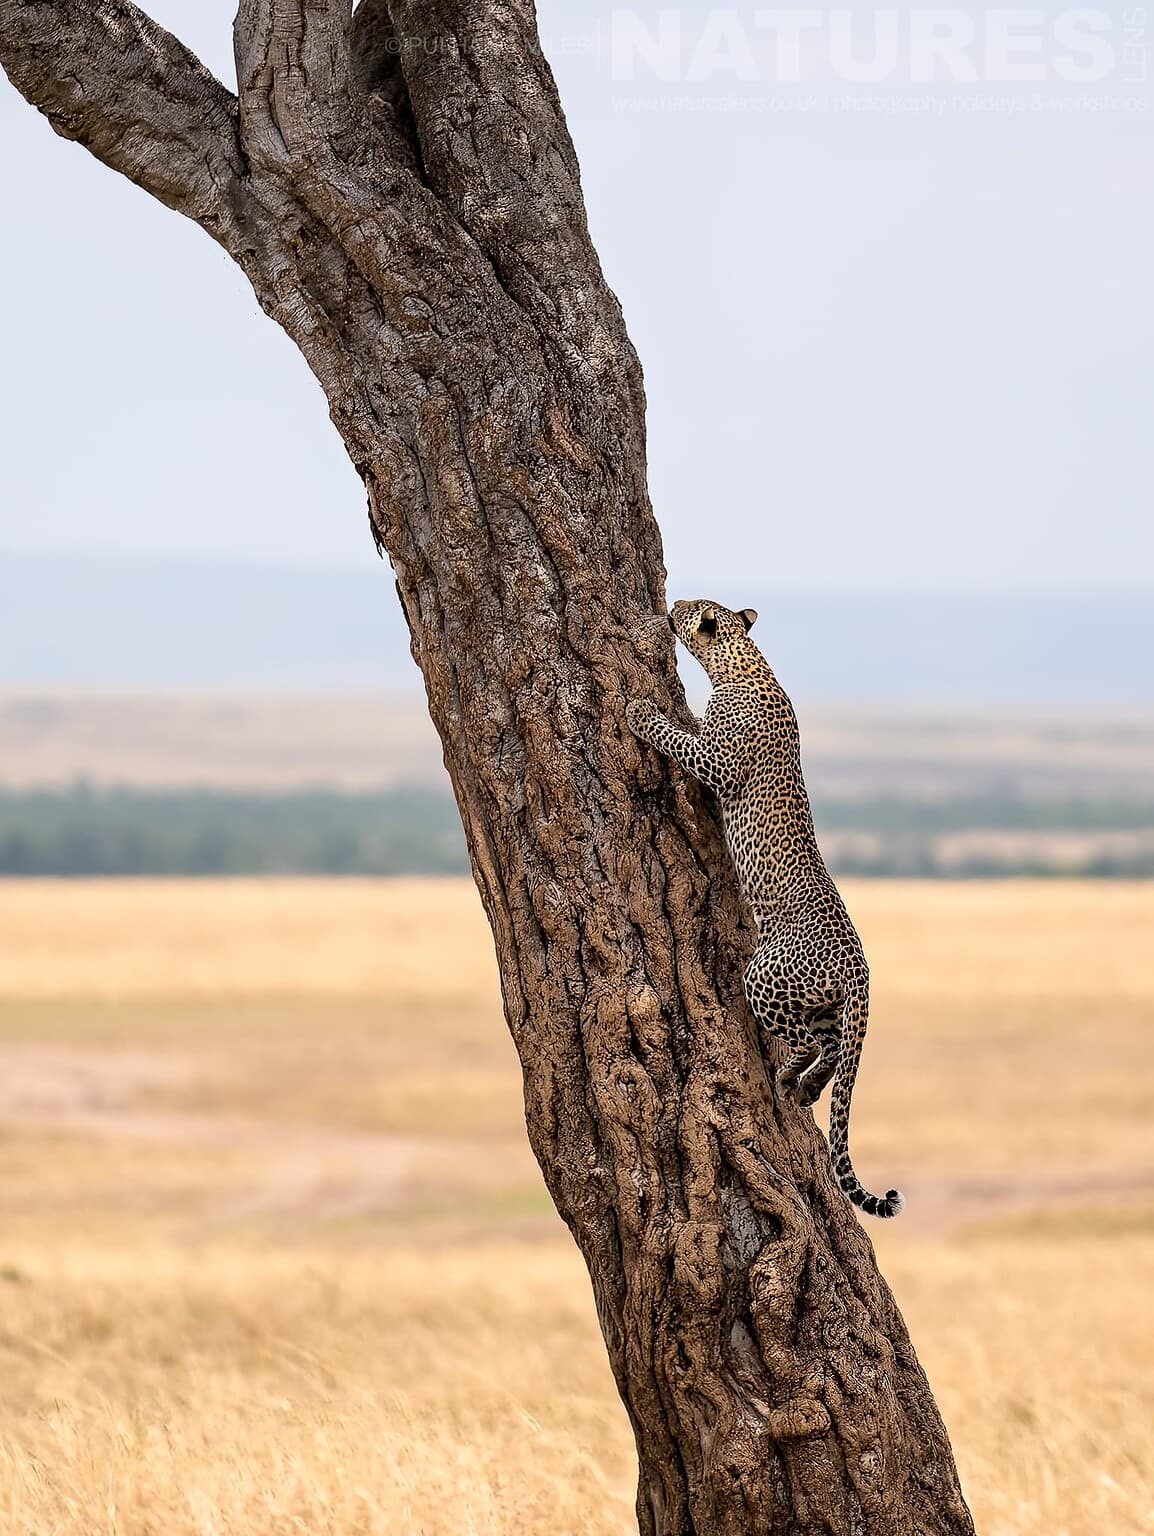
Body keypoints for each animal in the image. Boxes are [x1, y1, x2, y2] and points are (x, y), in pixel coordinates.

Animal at [626, 598, 904, 1220]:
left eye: (690, 608)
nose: (672, 602)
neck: (744, 661)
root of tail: (861, 972)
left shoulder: (716, 759)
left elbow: (678, 737)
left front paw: (639, 710)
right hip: (821, 1004)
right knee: (831, 1048)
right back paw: (806, 1087)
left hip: (766, 977)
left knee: (809, 1044)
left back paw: (791, 1076)